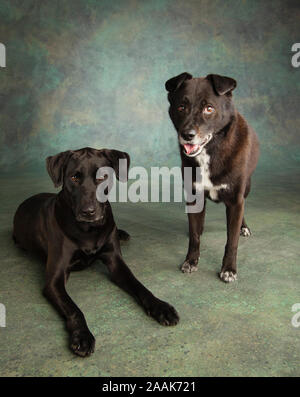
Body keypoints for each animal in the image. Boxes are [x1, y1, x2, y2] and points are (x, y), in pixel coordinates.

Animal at [12, 147, 179, 358]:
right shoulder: (54, 280)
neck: (89, 230)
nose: (88, 211)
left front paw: (160, 307)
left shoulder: (116, 262)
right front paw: (82, 336)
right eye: (74, 177)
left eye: (102, 177)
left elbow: (139, 286)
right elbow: (73, 308)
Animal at [165, 72, 258, 282]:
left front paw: (229, 269)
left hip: (246, 188)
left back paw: (243, 227)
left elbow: (231, 241)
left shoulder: (235, 200)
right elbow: (194, 236)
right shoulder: (193, 196)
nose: (187, 135)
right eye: (181, 107)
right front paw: (191, 261)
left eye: (209, 108)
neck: (211, 151)